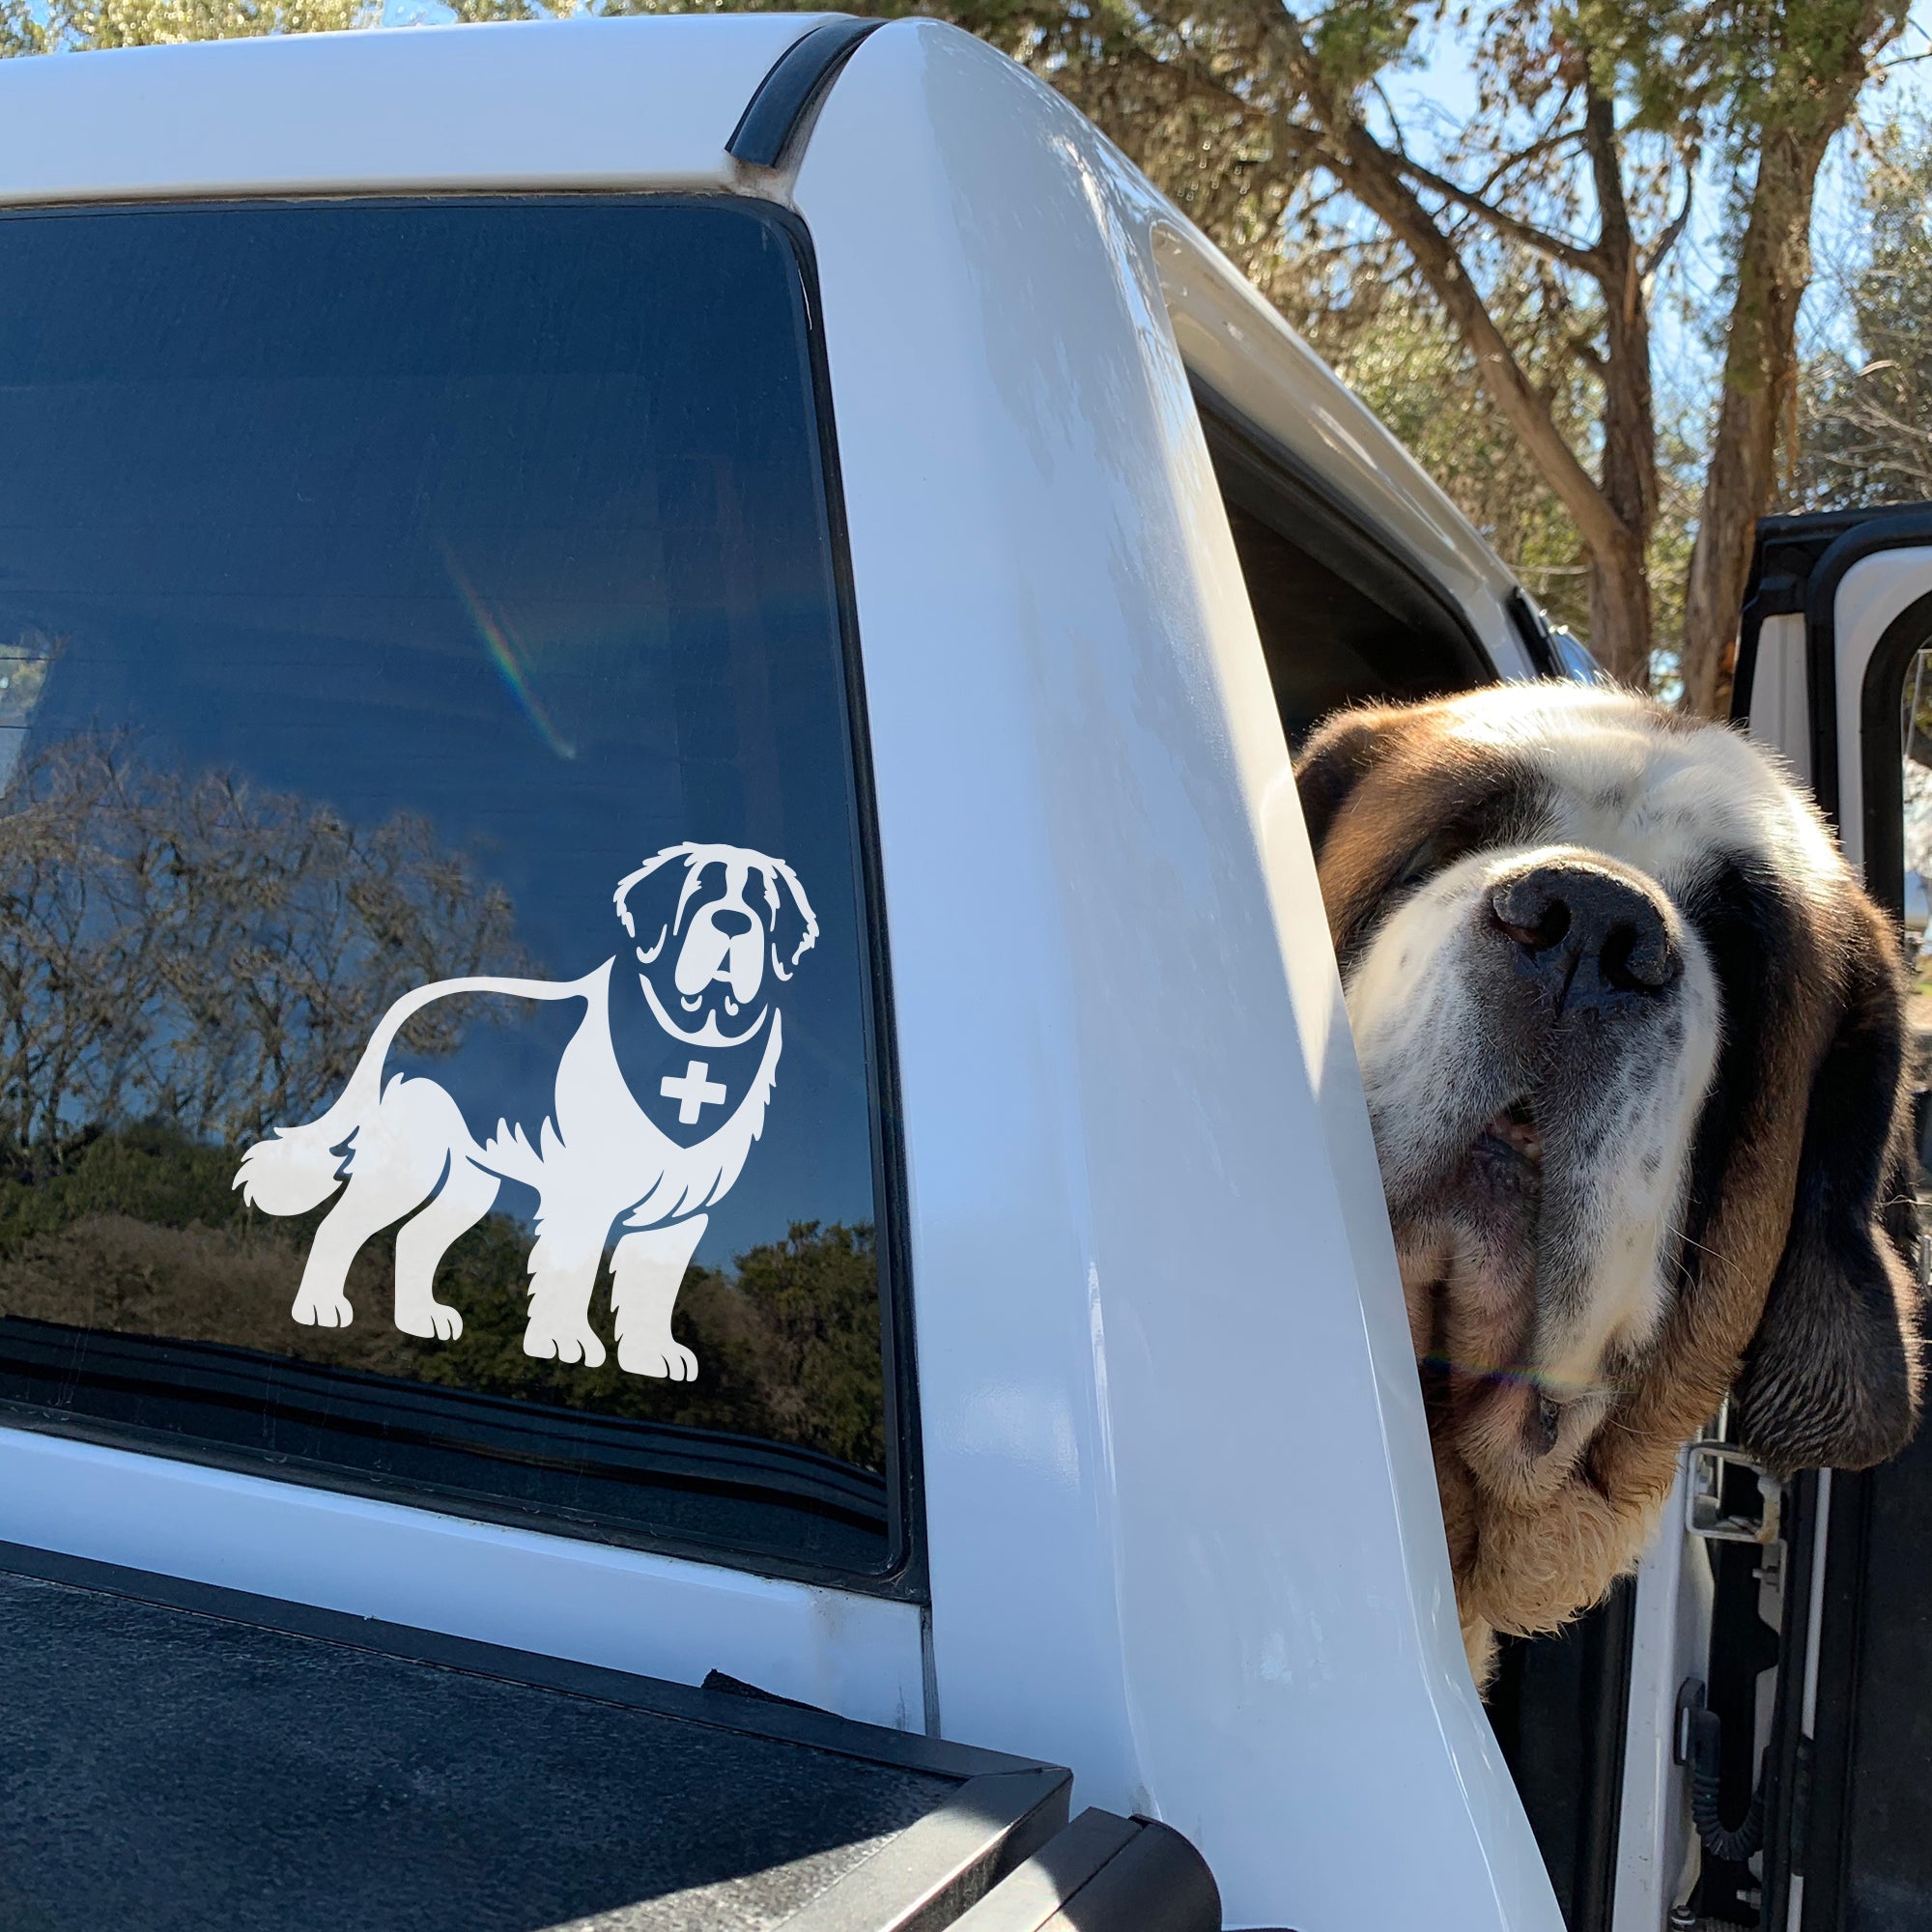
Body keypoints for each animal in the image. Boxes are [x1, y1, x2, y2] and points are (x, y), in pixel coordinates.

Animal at [234, 838, 815, 1383]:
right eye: (699, 893)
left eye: (762, 906)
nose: (733, 922)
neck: (694, 1040)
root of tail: (412, 1007)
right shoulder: (583, 1198)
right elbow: (570, 1272)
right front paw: (564, 1341)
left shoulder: (683, 1214)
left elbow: (652, 1288)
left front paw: (651, 1356)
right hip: (408, 1168)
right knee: (338, 1226)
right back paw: (320, 1308)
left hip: (470, 1182)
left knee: (414, 1238)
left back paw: (422, 1319)